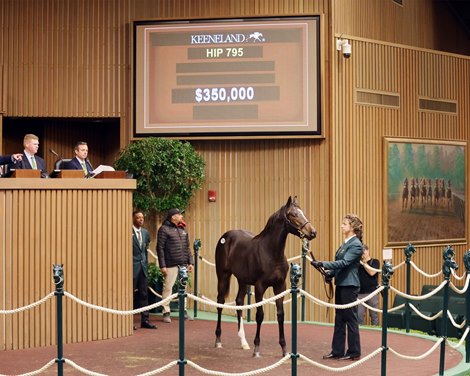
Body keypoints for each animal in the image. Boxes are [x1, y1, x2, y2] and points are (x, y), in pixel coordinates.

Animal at [214, 195, 316, 356]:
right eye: (293, 214)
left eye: (302, 212)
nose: (312, 232)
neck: (271, 252)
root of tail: (225, 237)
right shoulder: (260, 287)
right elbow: (260, 315)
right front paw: (257, 348)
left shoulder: (280, 286)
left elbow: (280, 314)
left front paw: (284, 349)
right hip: (223, 276)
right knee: (220, 302)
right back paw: (218, 340)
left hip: (242, 280)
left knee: (239, 302)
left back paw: (244, 342)